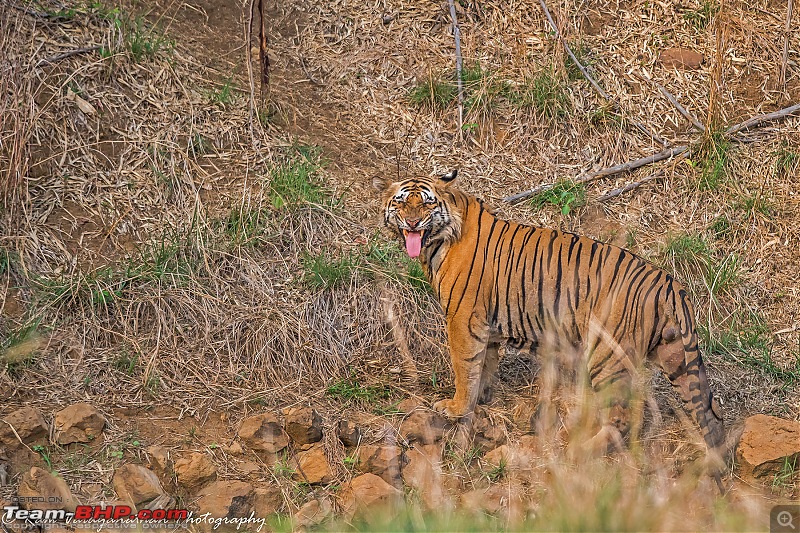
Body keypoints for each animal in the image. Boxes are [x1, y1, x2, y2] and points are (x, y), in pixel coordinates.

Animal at [376, 171, 724, 478]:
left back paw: (580, 450)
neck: (439, 241)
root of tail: (671, 284)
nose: (412, 223)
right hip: (675, 356)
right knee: (705, 412)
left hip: (606, 356)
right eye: (402, 202)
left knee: (621, 417)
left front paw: (456, 406)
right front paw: (482, 397)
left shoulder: (462, 319)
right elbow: (484, 364)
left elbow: (464, 365)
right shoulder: (487, 324)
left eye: (426, 204)